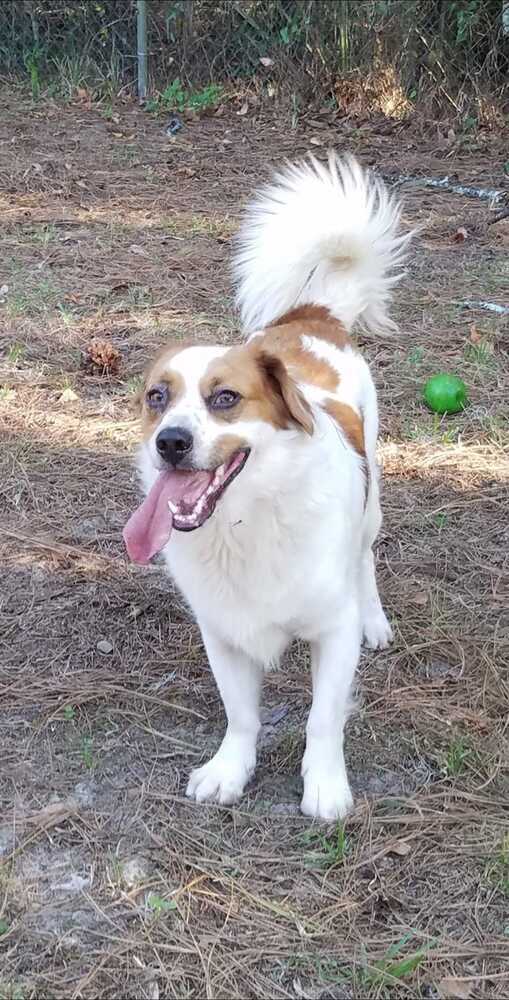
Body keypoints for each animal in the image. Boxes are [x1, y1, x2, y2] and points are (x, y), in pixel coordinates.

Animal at [123, 152, 408, 816]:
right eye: (157, 398)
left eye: (226, 398)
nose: (170, 442)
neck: (246, 523)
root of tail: (312, 316)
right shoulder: (222, 631)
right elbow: (241, 715)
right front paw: (231, 770)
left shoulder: (332, 631)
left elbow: (323, 719)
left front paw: (325, 785)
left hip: (372, 503)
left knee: (366, 557)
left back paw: (376, 618)